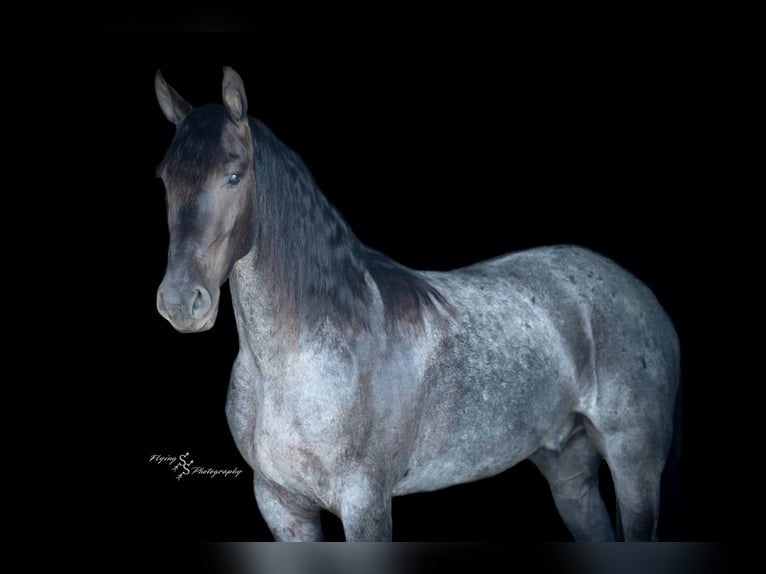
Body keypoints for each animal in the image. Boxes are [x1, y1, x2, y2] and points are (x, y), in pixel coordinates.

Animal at [154, 67, 680, 541]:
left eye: (234, 174)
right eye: (164, 180)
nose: (181, 301)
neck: (298, 361)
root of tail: (639, 293)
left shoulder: (365, 505)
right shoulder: (281, 506)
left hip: (634, 464)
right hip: (568, 468)